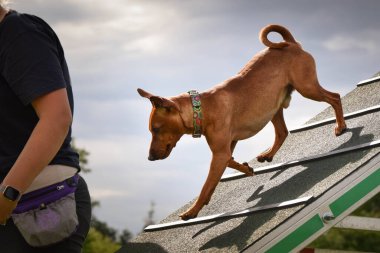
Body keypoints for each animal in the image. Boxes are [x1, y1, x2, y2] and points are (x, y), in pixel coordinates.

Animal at [138, 24, 346, 220]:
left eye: (156, 129)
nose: (150, 157)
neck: (202, 108)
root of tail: (290, 43)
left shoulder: (220, 152)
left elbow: (207, 183)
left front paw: (192, 210)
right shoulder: (227, 146)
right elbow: (227, 165)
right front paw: (245, 168)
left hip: (307, 87)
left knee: (334, 97)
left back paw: (341, 126)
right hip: (274, 107)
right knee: (282, 132)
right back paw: (268, 154)